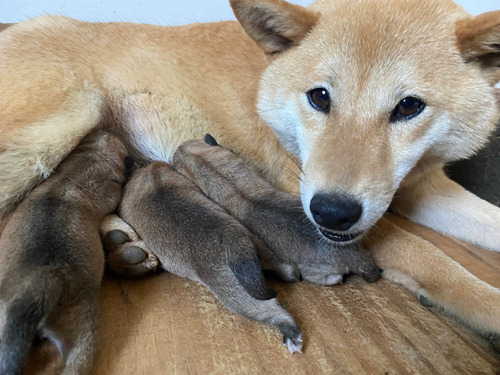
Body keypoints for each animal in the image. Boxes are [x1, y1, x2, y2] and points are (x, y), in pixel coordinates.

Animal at [118, 162, 304, 356]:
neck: (152, 174)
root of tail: (234, 240)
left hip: (234, 291)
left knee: (271, 310)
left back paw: (292, 334)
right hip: (259, 246)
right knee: (284, 268)